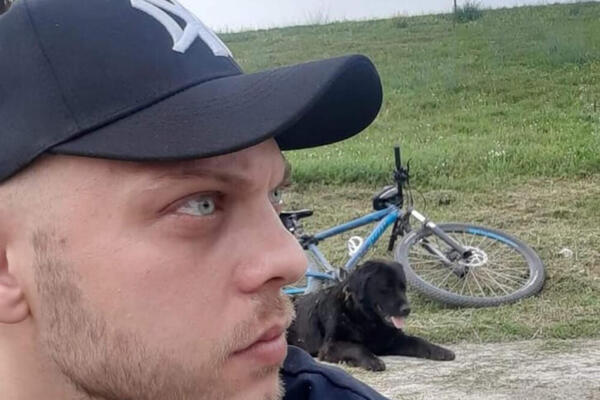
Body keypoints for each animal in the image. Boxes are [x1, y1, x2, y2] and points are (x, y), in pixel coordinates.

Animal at [287, 259, 455, 371]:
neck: (366, 320)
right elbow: (356, 347)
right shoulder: (331, 345)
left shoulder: (392, 340)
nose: (407, 309)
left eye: (403, 287)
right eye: (386, 288)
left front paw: (440, 350)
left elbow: (418, 341)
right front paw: (372, 360)